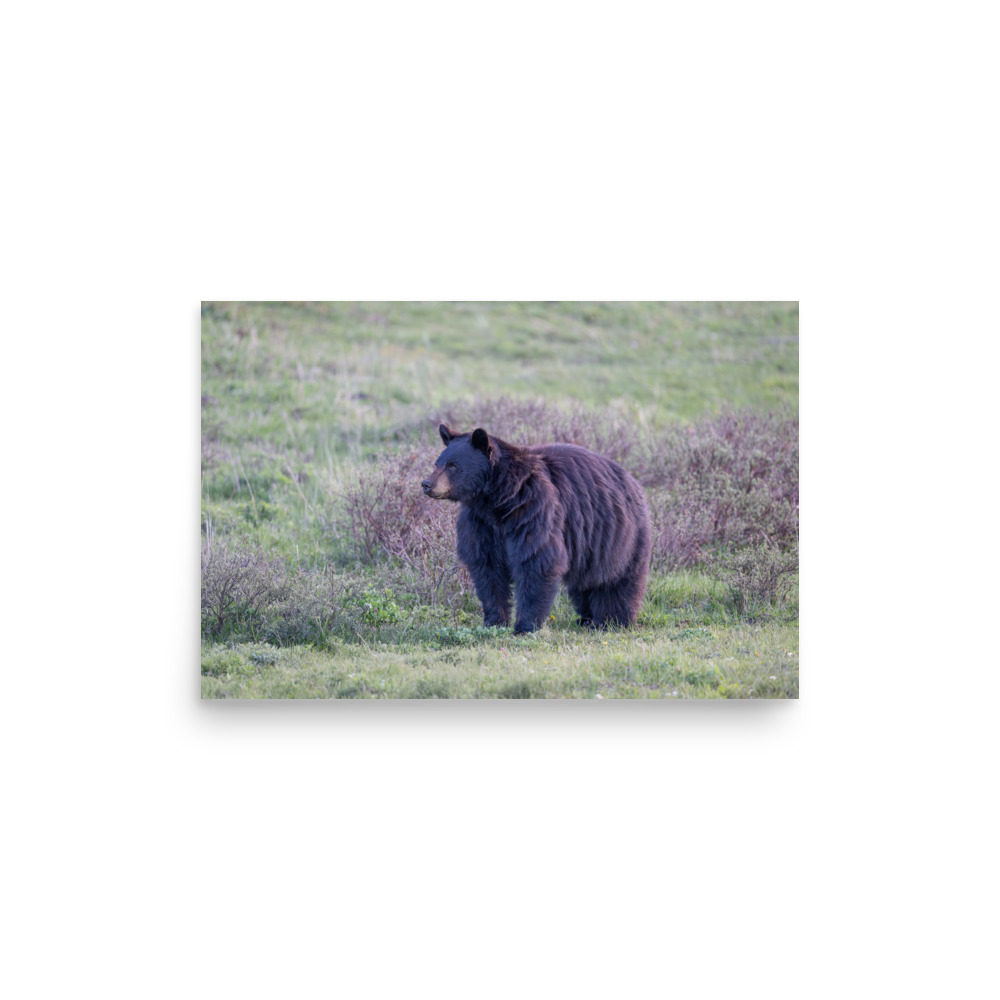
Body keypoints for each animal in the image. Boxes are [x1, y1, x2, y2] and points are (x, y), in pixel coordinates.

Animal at [421, 424, 652, 634]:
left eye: (452, 466)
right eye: (437, 463)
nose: (426, 483)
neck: (498, 500)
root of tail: (633, 482)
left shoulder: (533, 510)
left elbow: (536, 560)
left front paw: (525, 626)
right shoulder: (480, 523)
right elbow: (487, 568)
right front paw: (494, 622)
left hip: (620, 536)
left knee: (618, 580)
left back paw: (612, 620)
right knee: (585, 583)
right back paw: (586, 619)